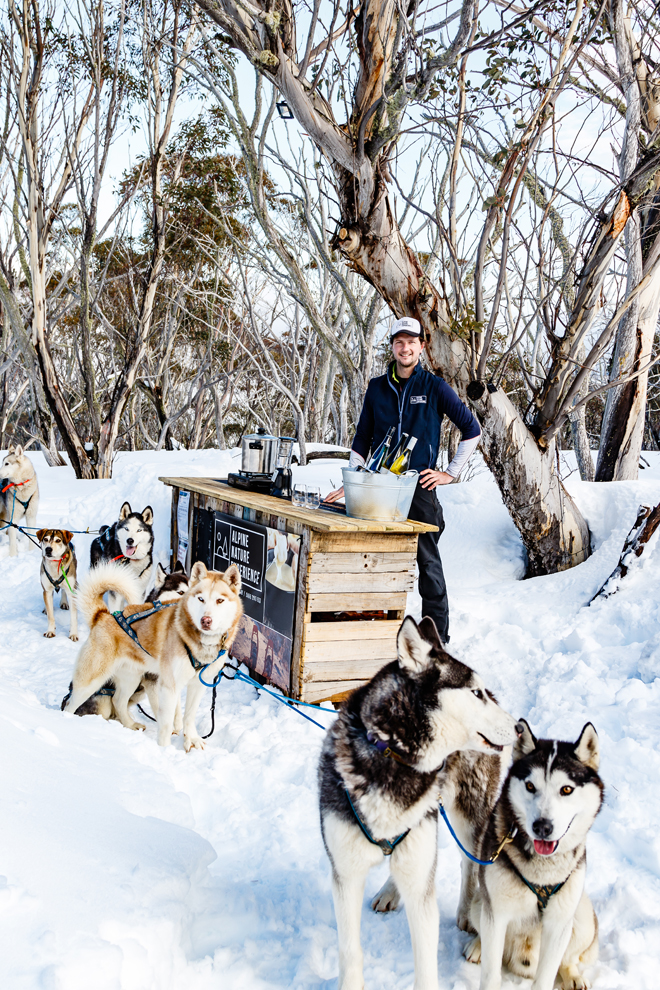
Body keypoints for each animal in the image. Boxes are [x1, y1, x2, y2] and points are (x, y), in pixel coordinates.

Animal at [62, 562, 190, 720]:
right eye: (181, 592)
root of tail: (102, 615)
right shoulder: (153, 682)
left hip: (131, 679)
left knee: (118, 702)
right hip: (95, 686)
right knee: (72, 705)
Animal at [318, 615, 522, 990]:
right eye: (475, 693)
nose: (518, 727)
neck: (395, 756)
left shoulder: (421, 889)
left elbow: (426, 966)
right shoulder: (346, 874)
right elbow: (350, 952)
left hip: (469, 816)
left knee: (471, 864)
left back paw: (469, 918)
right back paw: (390, 891)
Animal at [464, 719, 603, 990]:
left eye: (566, 789)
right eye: (530, 786)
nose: (542, 827)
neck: (542, 871)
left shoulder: (559, 922)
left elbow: (547, 975)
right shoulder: (496, 913)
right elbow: (491, 973)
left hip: (581, 914)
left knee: (568, 959)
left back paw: (572, 975)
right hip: (480, 901)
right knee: (482, 931)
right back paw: (477, 946)